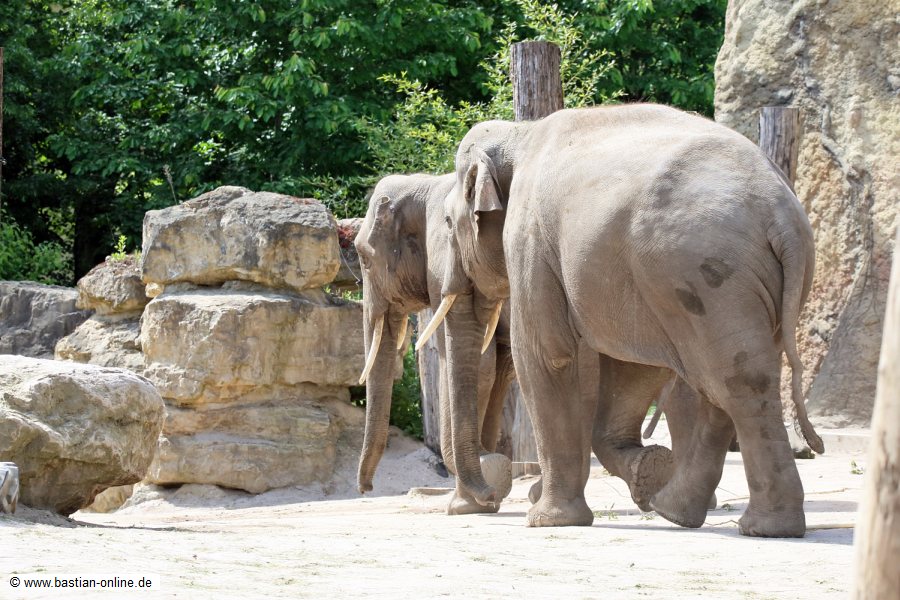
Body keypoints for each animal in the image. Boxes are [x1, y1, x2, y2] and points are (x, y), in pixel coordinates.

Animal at [421, 103, 824, 537]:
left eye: (448, 223)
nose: (489, 498)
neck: (520, 134)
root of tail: (781, 211)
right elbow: (633, 366)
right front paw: (646, 472)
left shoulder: (530, 242)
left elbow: (547, 357)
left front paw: (547, 520)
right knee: (727, 384)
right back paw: (682, 513)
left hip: (704, 276)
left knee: (735, 385)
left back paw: (761, 527)